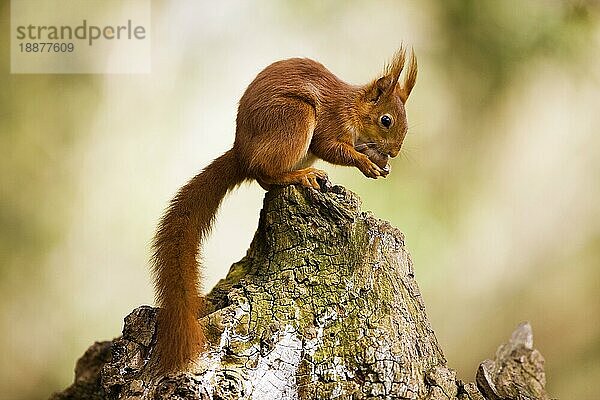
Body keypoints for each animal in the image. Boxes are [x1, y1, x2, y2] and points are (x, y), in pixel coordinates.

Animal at [151, 48, 418, 374]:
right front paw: (364, 162)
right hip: (293, 119)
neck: (352, 108)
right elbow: (331, 147)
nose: (394, 152)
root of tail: (242, 154)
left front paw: (380, 163)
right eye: (386, 120)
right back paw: (299, 175)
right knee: (266, 173)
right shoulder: (331, 123)